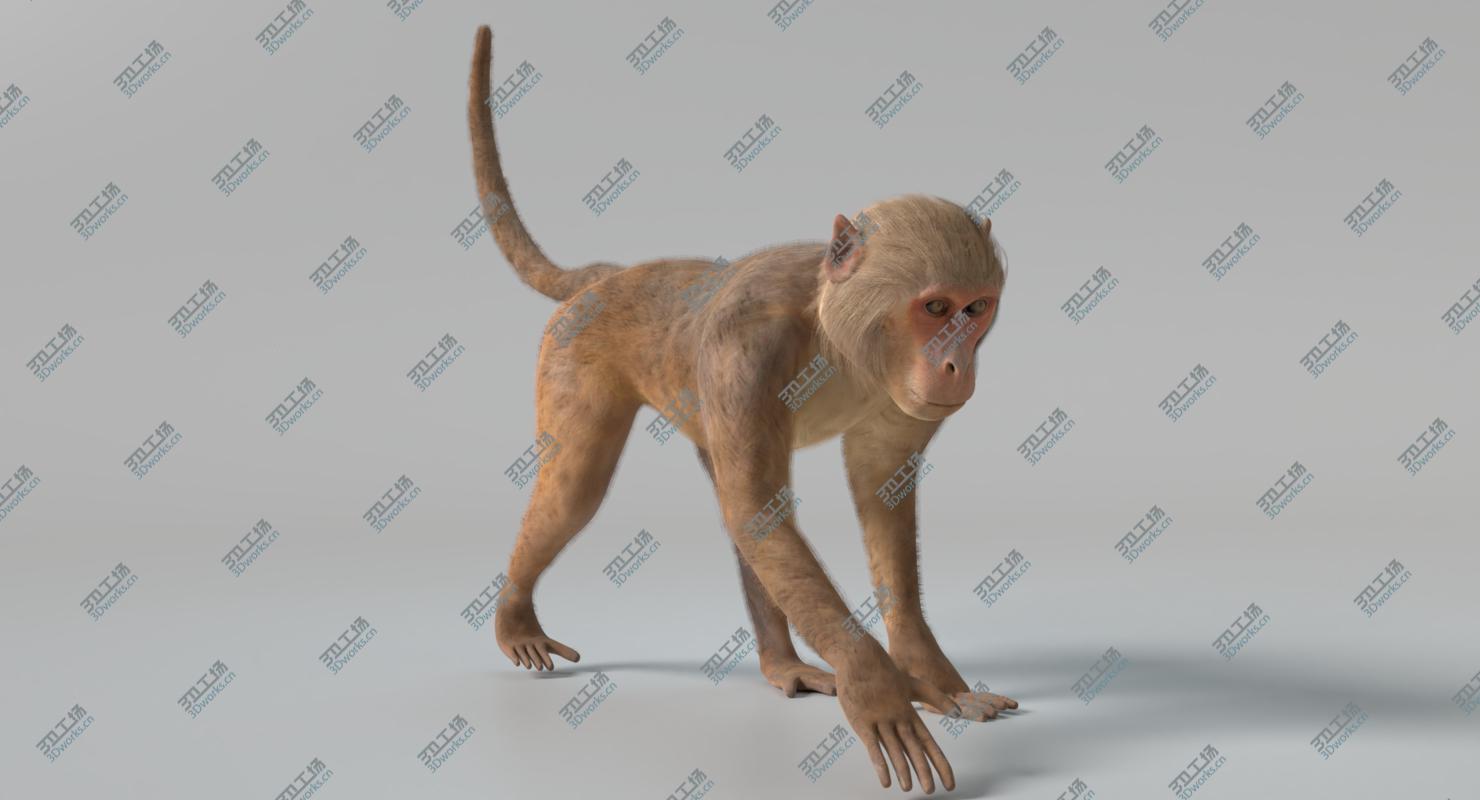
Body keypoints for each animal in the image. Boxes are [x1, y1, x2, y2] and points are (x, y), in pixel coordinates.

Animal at [469, 26, 1015, 794]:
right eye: (935, 308)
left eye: (976, 309)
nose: (955, 364)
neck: (836, 334)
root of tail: (610, 278)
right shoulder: (746, 349)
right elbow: (758, 510)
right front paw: (875, 684)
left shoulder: (901, 400)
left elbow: (874, 493)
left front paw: (927, 675)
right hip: (573, 348)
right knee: (579, 486)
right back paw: (515, 615)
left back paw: (784, 665)